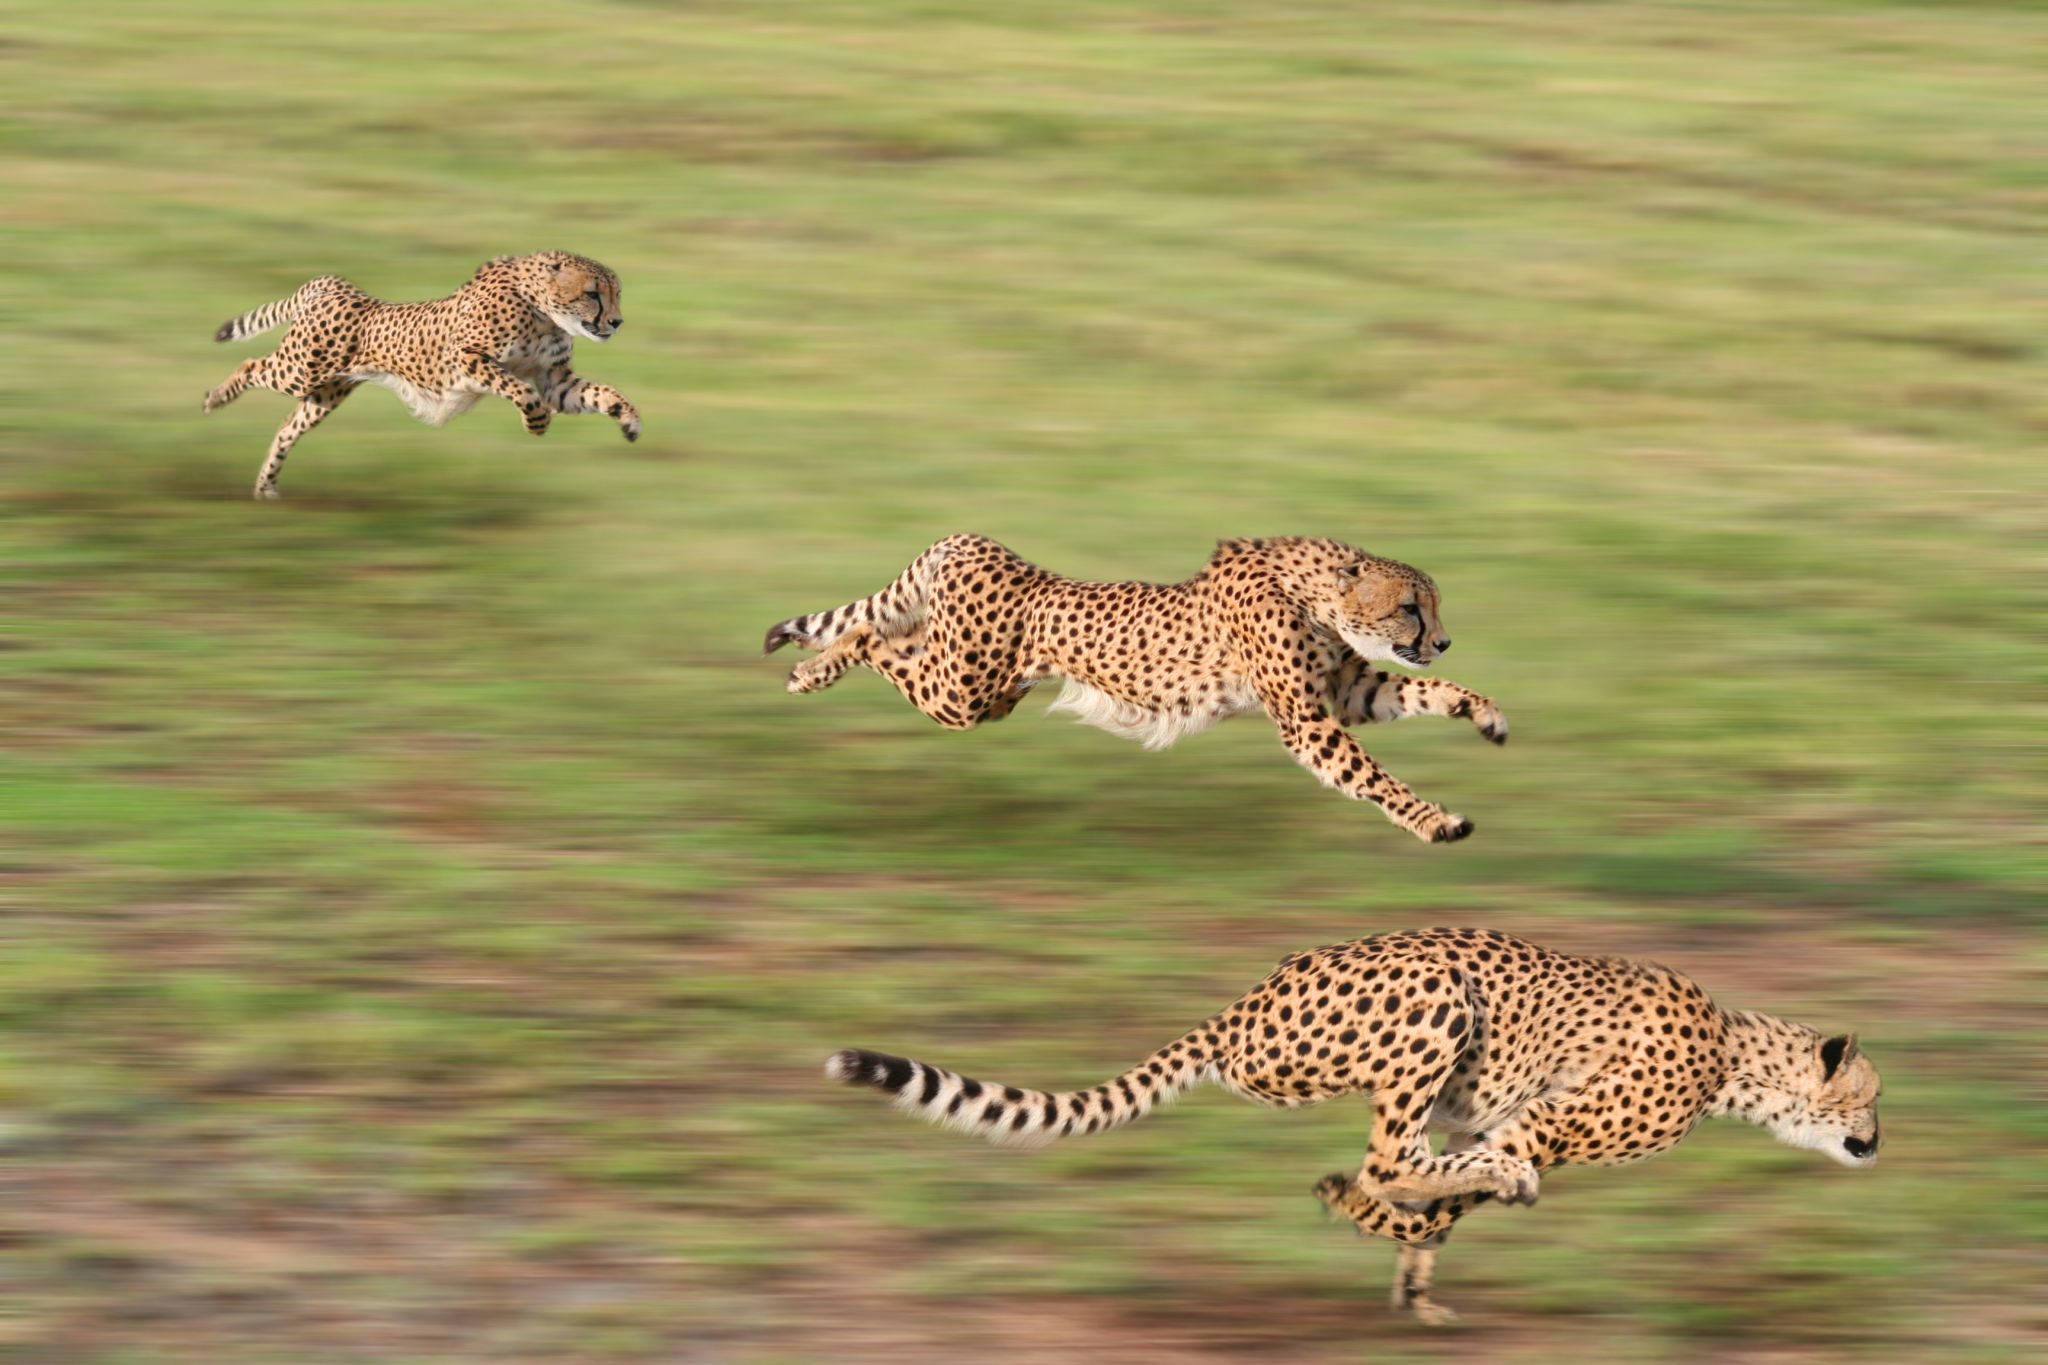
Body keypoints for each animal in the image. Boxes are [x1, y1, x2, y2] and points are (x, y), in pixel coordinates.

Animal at [204, 248, 638, 499]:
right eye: (592, 294)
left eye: (616, 293)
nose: (617, 322)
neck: (543, 312)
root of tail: (336, 286)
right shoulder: (466, 357)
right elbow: (520, 390)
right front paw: (536, 424)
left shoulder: (554, 381)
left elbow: (602, 392)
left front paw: (629, 420)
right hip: (300, 369)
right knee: (250, 365)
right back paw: (215, 398)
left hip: (325, 394)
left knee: (286, 429)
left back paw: (266, 485)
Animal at [770, 532, 1507, 843]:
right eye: (1411, 607)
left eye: (1431, 607)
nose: (1442, 639)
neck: (1315, 589)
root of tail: (972, 542)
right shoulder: (1306, 720)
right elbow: (1374, 776)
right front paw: (1435, 821)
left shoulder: (1348, 691)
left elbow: (1428, 691)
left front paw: (1484, 713)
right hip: (962, 692)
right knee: (869, 634)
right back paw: (811, 671)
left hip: (980, 685)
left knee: (883, 634)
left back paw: (811, 663)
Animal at [823, 925, 1875, 1326]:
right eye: (1869, 1098)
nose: (1878, 1142)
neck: (1737, 1053)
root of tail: (1247, 1000)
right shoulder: (1547, 1117)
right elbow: (1461, 1180)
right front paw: (1402, 1239)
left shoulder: (1507, 1119)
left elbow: (1450, 1197)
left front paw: (1413, 1281)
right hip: (1437, 999)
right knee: (1384, 1157)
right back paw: (1350, 1191)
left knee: (1397, 1159)